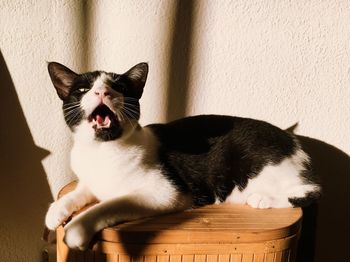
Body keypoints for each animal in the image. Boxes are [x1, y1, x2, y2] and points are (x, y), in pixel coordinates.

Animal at [45, 61, 322, 250]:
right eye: (83, 89)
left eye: (119, 87)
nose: (102, 92)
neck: (102, 151)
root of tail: (294, 142)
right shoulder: (90, 181)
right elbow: (78, 193)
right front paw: (56, 211)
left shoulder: (166, 193)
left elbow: (109, 205)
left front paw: (76, 229)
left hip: (261, 168)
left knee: (312, 191)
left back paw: (263, 199)